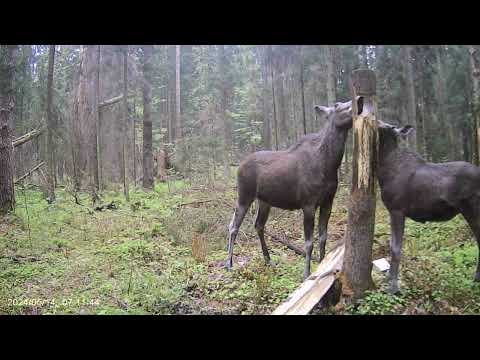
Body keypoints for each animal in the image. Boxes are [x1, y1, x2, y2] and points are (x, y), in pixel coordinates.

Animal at [225, 96, 364, 278]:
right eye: (337, 105)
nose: (360, 99)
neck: (329, 165)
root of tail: (239, 166)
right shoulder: (308, 204)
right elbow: (308, 243)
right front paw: (306, 274)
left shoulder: (328, 202)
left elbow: (323, 237)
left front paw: (321, 265)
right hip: (244, 195)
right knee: (233, 226)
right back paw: (229, 263)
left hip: (265, 201)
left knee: (259, 225)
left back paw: (268, 259)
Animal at [376, 119, 480, 294]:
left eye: (388, 126)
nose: (378, 122)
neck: (384, 171)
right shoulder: (393, 211)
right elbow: (391, 246)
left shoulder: (397, 210)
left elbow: (396, 249)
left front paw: (393, 288)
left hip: (472, 210)